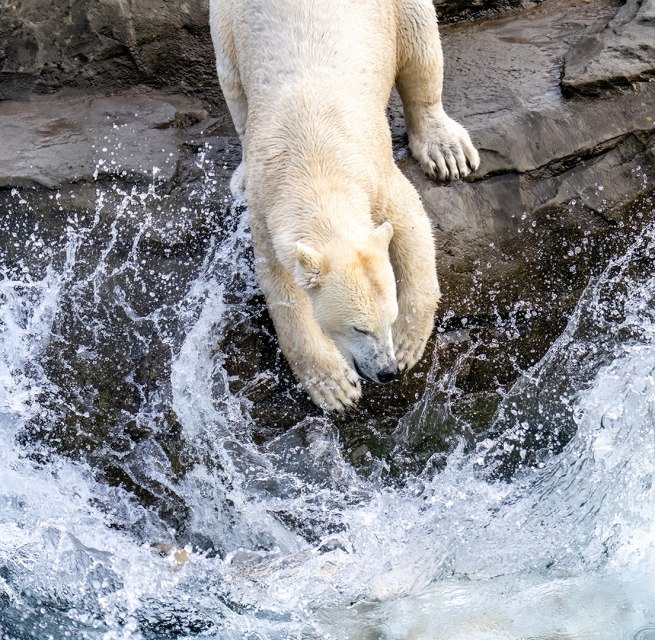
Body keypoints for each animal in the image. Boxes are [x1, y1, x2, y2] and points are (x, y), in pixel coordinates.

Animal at [209, 0, 479, 410]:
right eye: (358, 328)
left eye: (391, 316)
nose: (387, 372)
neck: (313, 160)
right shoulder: (267, 213)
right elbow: (283, 292)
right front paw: (335, 385)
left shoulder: (375, 174)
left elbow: (410, 225)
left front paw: (407, 344)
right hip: (224, 19)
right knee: (233, 82)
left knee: (421, 47)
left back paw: (446, 149)